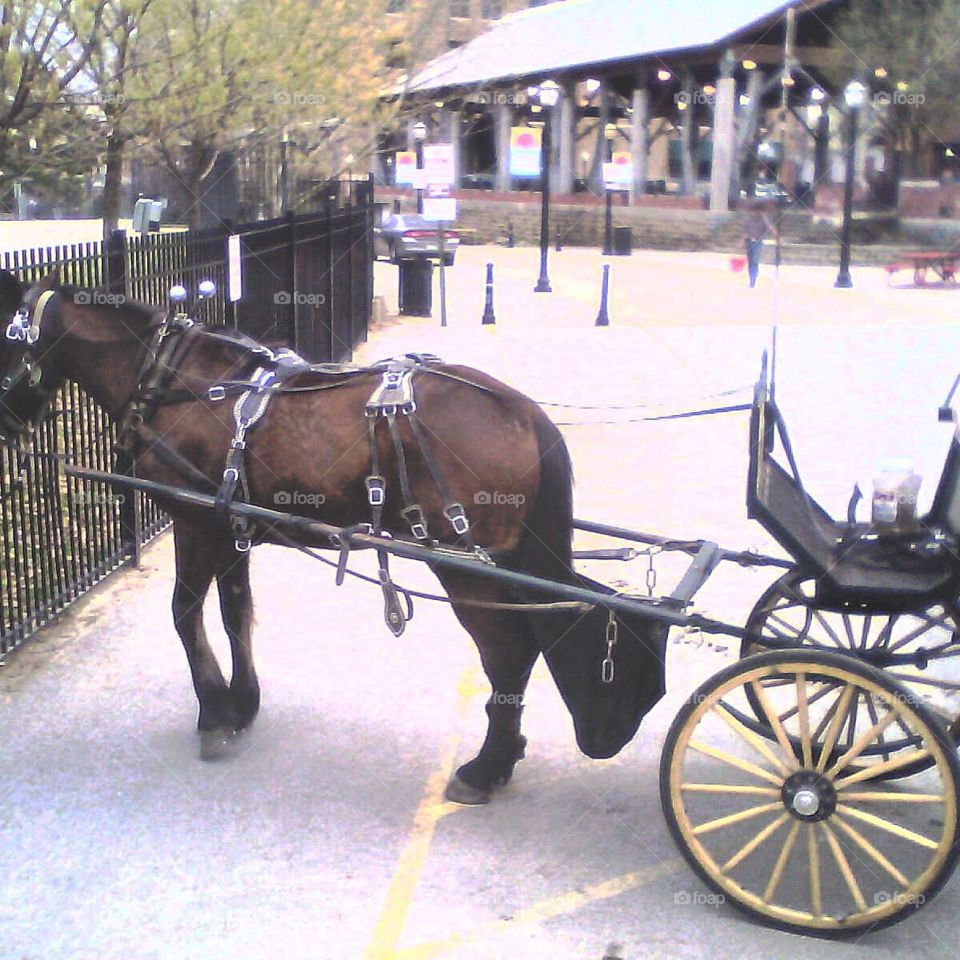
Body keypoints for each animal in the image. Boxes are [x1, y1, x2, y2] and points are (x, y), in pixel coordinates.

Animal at [0, 269, 666, 804]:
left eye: (4, 342)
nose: (7, 430)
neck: (171, 379)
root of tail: (522, 411)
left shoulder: (195, 522)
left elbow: (186, 614)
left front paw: (213, 711)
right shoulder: (229, 524)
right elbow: (236, 612)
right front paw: (242, 703)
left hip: (463, 564)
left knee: (508, 654)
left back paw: (486, 767)